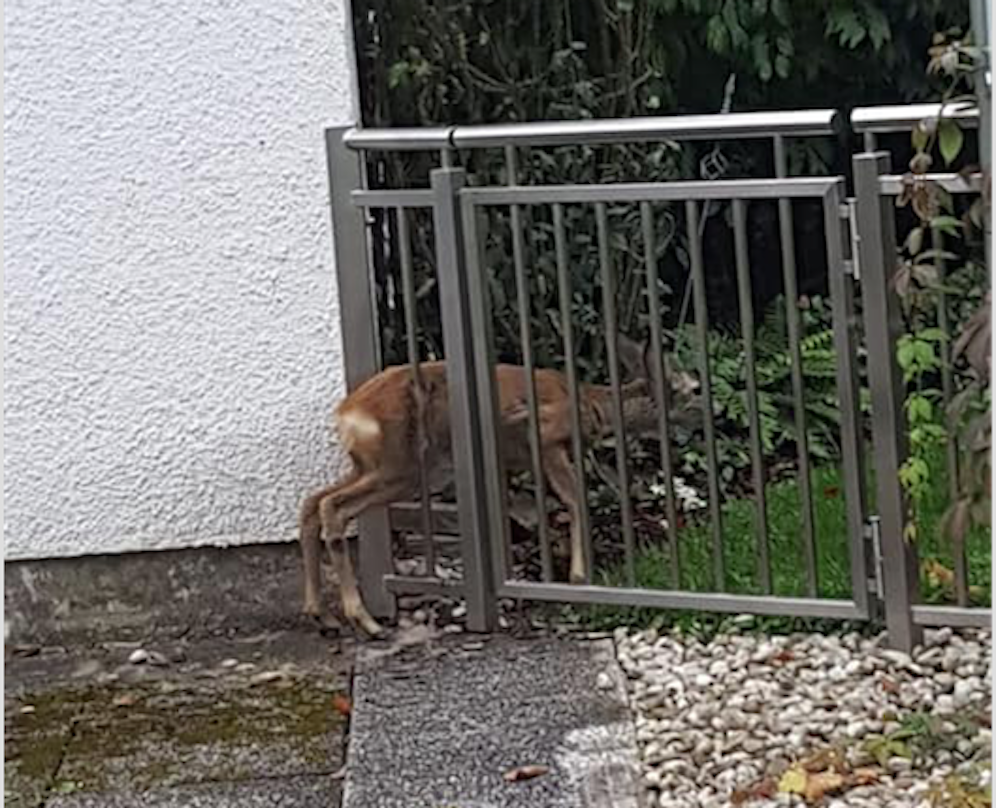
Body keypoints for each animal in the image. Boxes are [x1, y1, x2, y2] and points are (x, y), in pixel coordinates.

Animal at [300, 334, 696, 636]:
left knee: (312, 503)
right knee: (332, 507)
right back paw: (366, 621)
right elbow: (575, 498)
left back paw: (322, 614)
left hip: (377, 466)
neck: (591, 405)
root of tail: (348, 413)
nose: (708, 406)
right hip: (400, 465)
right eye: (691, 389)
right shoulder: (546, 436)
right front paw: (579, 575)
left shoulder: (510, 461)